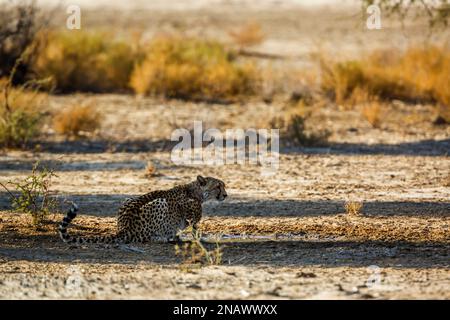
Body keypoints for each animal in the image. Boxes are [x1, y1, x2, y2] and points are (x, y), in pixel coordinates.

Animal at [59, 176, 229, 244]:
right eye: (218, 186)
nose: (226, 195)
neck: (196, 192)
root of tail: (124, 229)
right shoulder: (186, 206)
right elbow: (195, 221)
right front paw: (199, 238)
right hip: (161, 202)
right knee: (148, 237)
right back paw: (164, 238)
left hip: (128, 199)